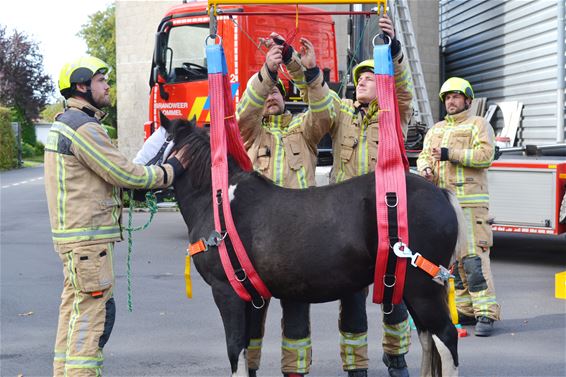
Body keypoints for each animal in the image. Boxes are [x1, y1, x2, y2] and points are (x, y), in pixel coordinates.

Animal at [164, 117, 466, 376]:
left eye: (161, 139)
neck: (218, 202)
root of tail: (440, 193)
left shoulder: (227, 292)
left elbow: (235, 349)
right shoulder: (251, 298)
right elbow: (248, 350)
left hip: (422, 289)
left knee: (446, 337)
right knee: (428, 339)